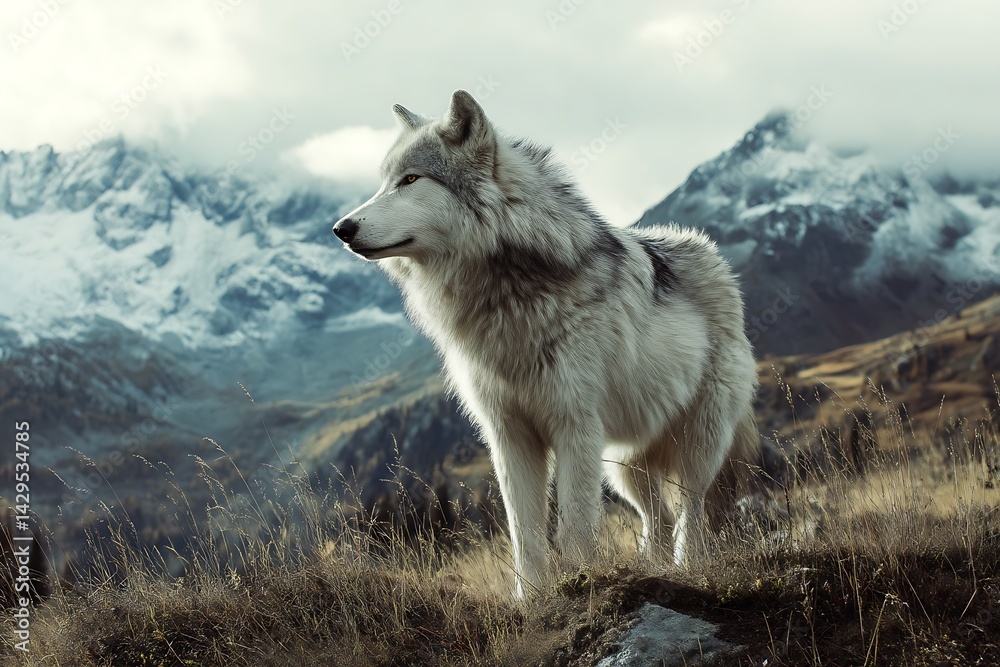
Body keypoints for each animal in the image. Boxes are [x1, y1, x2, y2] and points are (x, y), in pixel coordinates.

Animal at [333, 90, 759, 598]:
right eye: (383, 182)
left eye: (410, 179)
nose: (340, 228)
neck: (507, 294)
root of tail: (713, 256)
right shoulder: (508, 433)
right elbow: (525, 533)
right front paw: (532, 599)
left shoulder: (575, 428)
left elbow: (573, 527)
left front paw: (583, 582)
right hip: (624, 467)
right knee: (657, 517)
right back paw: (655, 570)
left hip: (695, 444)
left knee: (691, 513)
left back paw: (688, 568)